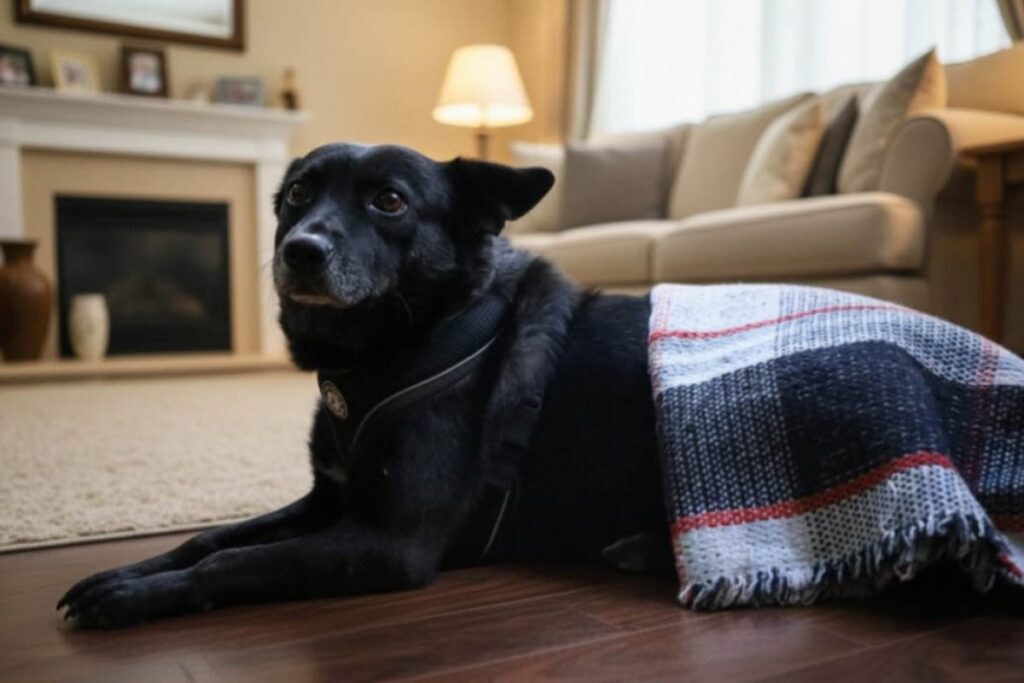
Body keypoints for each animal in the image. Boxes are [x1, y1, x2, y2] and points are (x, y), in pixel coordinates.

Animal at [57, 143, 671, 628]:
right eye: (299, 192)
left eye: (390, 201)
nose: (300, 250)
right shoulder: (327, 499)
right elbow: (210, 538)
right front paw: (130, 572)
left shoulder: (391, 544)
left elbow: (235, 560)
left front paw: (136, 596)